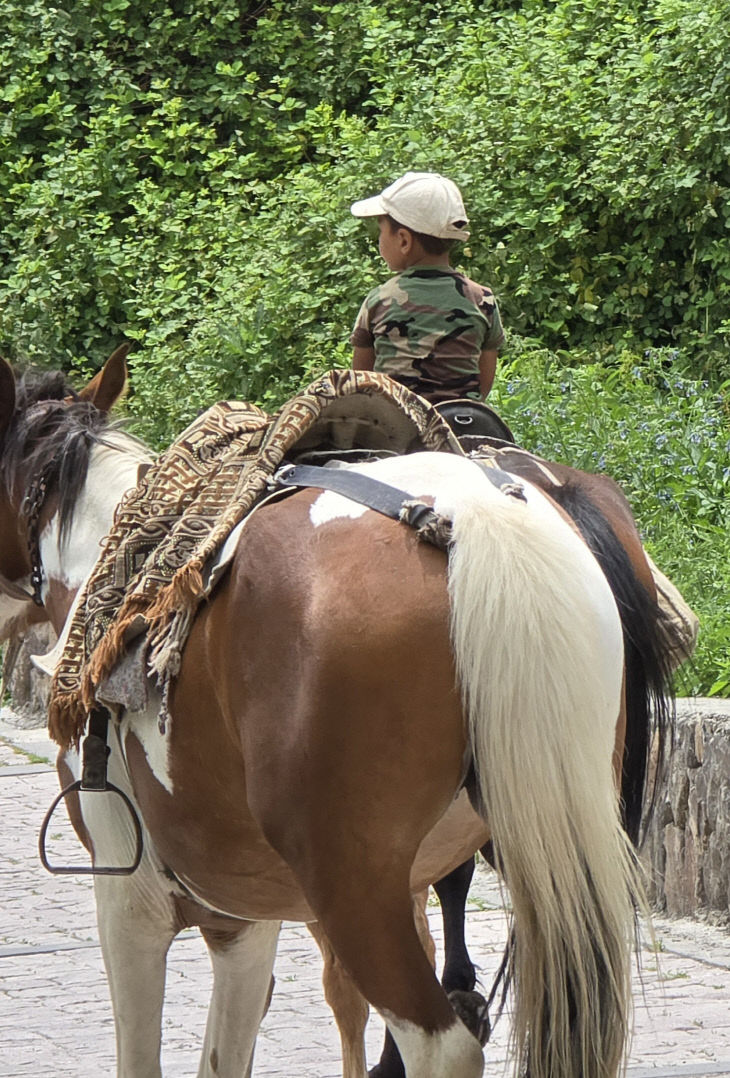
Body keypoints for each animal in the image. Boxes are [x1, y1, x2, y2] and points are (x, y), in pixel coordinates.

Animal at [0, 349, 651, 1073]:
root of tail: (477, 519)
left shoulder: (132, 901)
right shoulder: (243, 915)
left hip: (357, 891)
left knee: (440, 1042)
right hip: (558, 849)